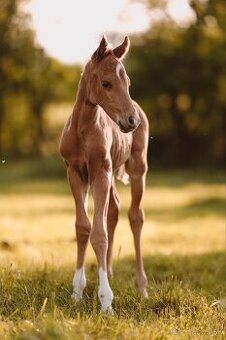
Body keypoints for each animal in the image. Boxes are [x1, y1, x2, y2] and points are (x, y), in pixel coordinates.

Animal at [59, 35, 149, 312]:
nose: (131, 121)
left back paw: (142, 287)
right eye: (106, 83)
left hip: (137, 169)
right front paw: (77, 291)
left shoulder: (101, 172)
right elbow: (83, 227)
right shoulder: (76, 173)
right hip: (108, 176)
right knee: (115, 211)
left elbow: (99, 234)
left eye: (128, 83)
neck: (83, 130)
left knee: (135, 216)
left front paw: (106, 301)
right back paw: (109, 272)